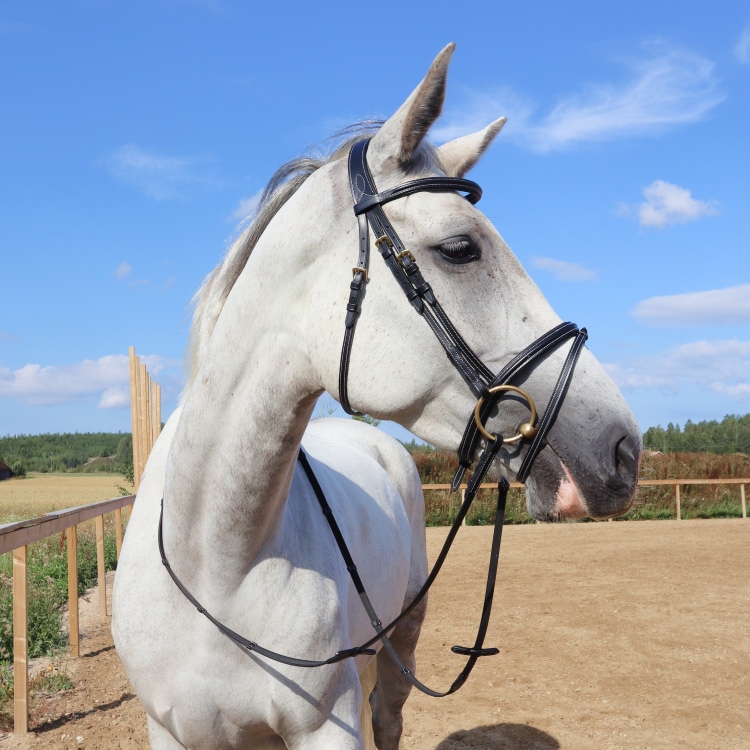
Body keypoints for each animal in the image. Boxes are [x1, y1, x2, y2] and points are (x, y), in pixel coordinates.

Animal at [111, 42, 640, 750]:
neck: (217, 565)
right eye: (459, 248)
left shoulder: (328, 725)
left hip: (398, 649)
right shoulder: (170, 730)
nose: (623, 450)